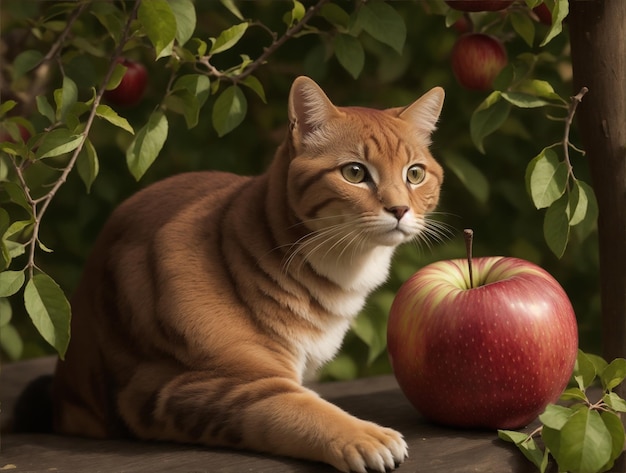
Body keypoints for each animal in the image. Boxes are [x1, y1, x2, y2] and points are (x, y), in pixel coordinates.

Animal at [53, 75, 444, 470]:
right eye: (354, 172)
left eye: (415, 173)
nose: (400, 210)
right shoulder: (174, 387)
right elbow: (295, 406)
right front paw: (362, 436)